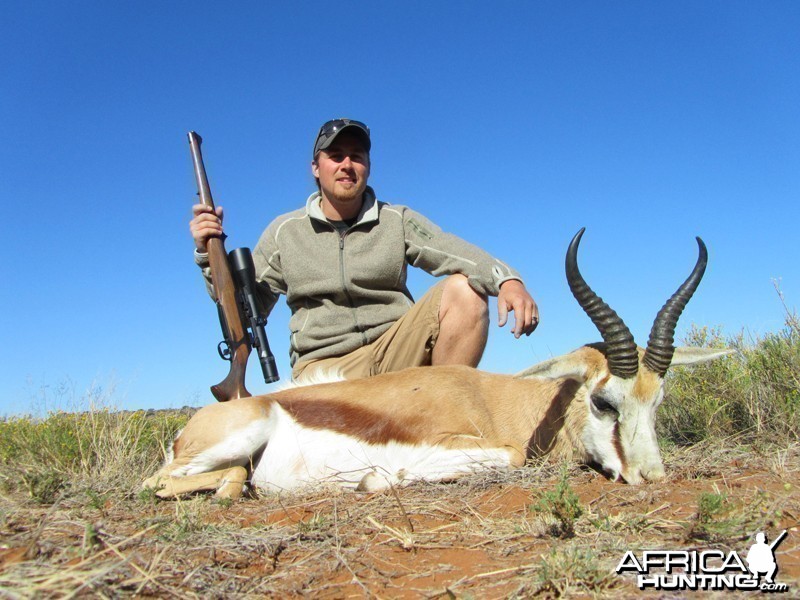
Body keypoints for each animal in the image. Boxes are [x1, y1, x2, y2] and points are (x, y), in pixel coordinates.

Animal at [144, 229, 732, 496]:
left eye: (656, 402)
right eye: (604, 402)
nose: (651, 476)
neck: (498, 401)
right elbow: (508, 458)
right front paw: (378, 480)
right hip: (235, 439)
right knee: (167, 482)